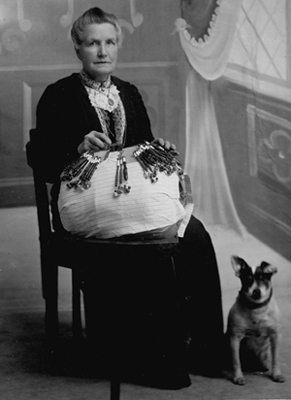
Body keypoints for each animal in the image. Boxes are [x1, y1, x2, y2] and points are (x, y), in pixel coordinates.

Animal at [227, 256, 286, 384]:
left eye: (263, 279)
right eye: (248, 280)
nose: (256, 291)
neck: (256, 308)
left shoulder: (276, 336)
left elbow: (275, 359)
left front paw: (277, 374)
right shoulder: (235, 338)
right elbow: (236, 360)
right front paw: (238, 376)